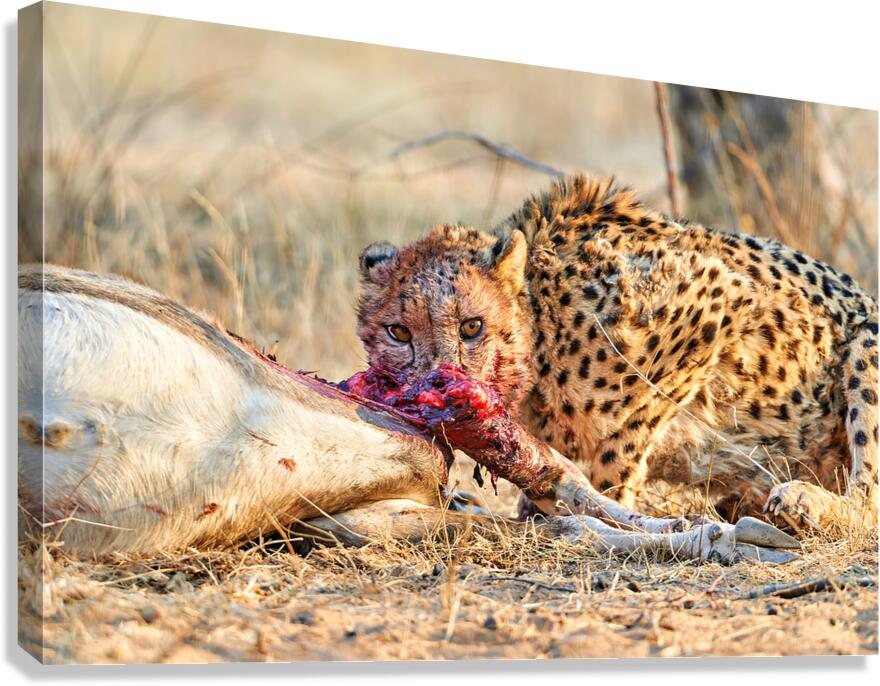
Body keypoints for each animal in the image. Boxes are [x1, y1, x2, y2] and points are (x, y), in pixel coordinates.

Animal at [356, 174, 878, 533]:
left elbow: (625, 435)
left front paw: (608, 503)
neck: (543, 325)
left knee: (868, 495)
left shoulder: (716, 299)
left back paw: (803, 502)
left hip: (866, 338)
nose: (438, 380)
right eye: (398, 332)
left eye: (471, 327)